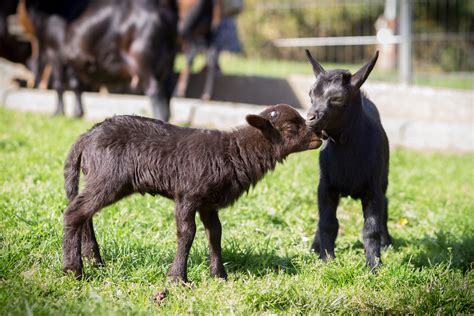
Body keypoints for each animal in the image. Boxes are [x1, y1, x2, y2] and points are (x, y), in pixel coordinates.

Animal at [21, 0, 179, 121]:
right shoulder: (73, 58)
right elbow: (75, 84)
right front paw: (77, 113)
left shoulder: (54, 52)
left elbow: (58, 84)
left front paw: (57, 113)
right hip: (169, 61)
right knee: (168, 91)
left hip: (142, 58)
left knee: (155, 91)